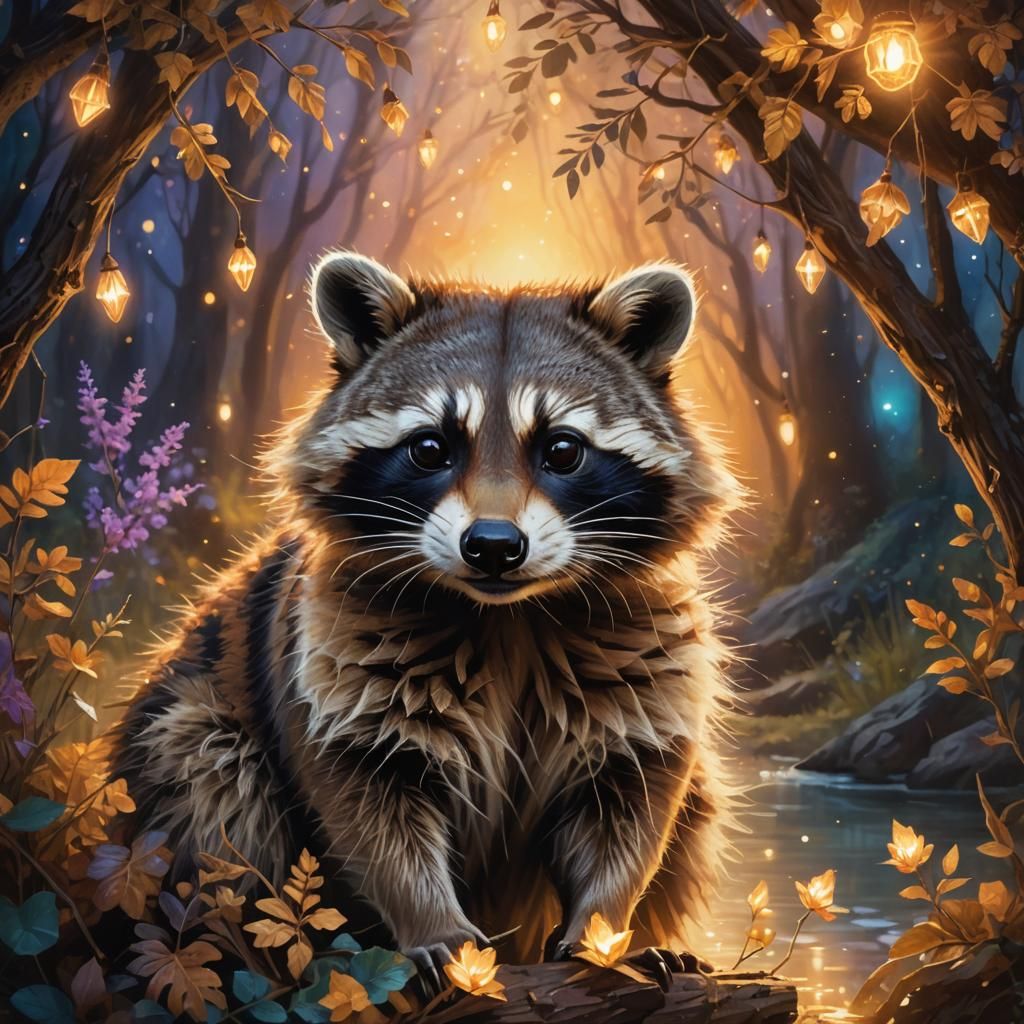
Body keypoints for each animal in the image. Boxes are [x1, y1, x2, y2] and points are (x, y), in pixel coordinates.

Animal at [111, 252, 742, 986]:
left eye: (562, 450)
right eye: (430, 449)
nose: (493, 546)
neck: (507, 616)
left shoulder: (645, 656)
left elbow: (630, 803)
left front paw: (604, 928)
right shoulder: (334, 647)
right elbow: (370, 804)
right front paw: (431, 922)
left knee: (697, 807)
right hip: (188, 735)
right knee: (213, 786)